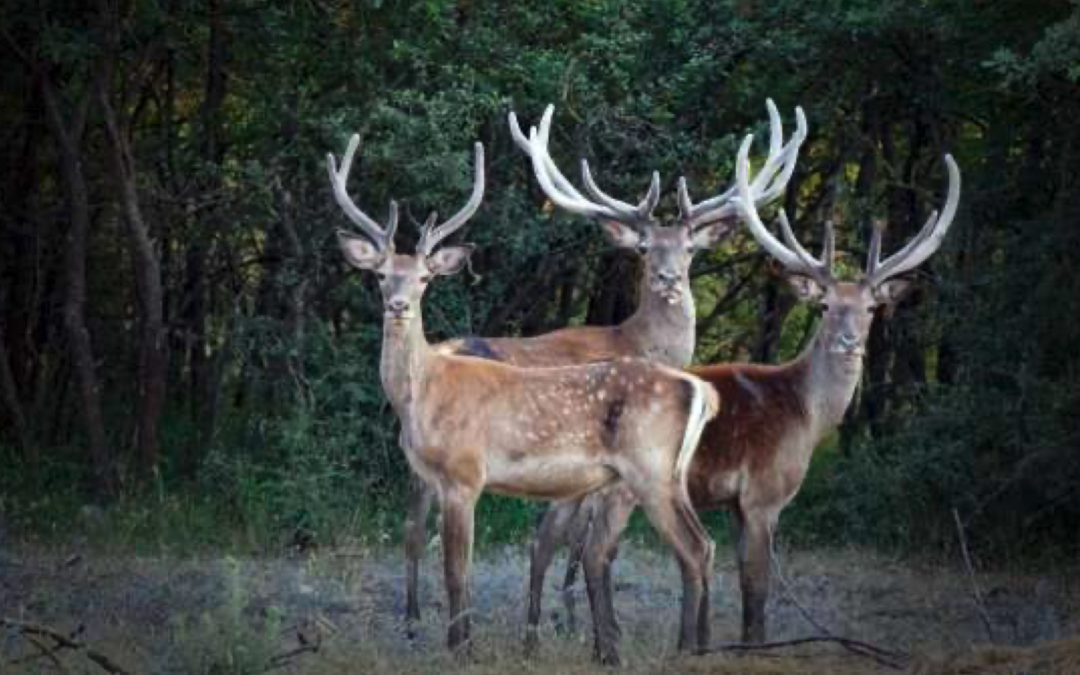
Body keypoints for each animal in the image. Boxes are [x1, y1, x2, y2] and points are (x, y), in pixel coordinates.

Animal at [328, 134, 723, 661]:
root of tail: (699, 387)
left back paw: (686, 648)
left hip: (649, 469)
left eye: (425, 278)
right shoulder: (435, 476)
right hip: (667, 474)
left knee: (692, 548)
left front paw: (461, 649)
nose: (398, 305)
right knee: (703, 544)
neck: (425, 393)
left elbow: (457, 571)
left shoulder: (464, 474)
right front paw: (461, 642)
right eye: (380, 274)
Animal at [398, 100, 807, 655]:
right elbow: (583, 547)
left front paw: (564, 628)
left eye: (689, 248)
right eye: (644, 248)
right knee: (422, 526)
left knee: (413, 524)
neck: (633, 340)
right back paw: (417, 621)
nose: (668, 279)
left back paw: (416, 618)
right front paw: (583, 630)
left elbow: (564, 544)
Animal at [526, 130, 961, 650]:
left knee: (548, 541)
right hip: (627, 484)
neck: (804, 413)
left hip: (578, 483)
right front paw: (748, 644)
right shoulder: (762, 495)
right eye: (826, 305)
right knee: (593, 549)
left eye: (872, 307)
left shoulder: (734, 504)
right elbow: (755, 587)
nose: (849, 341)